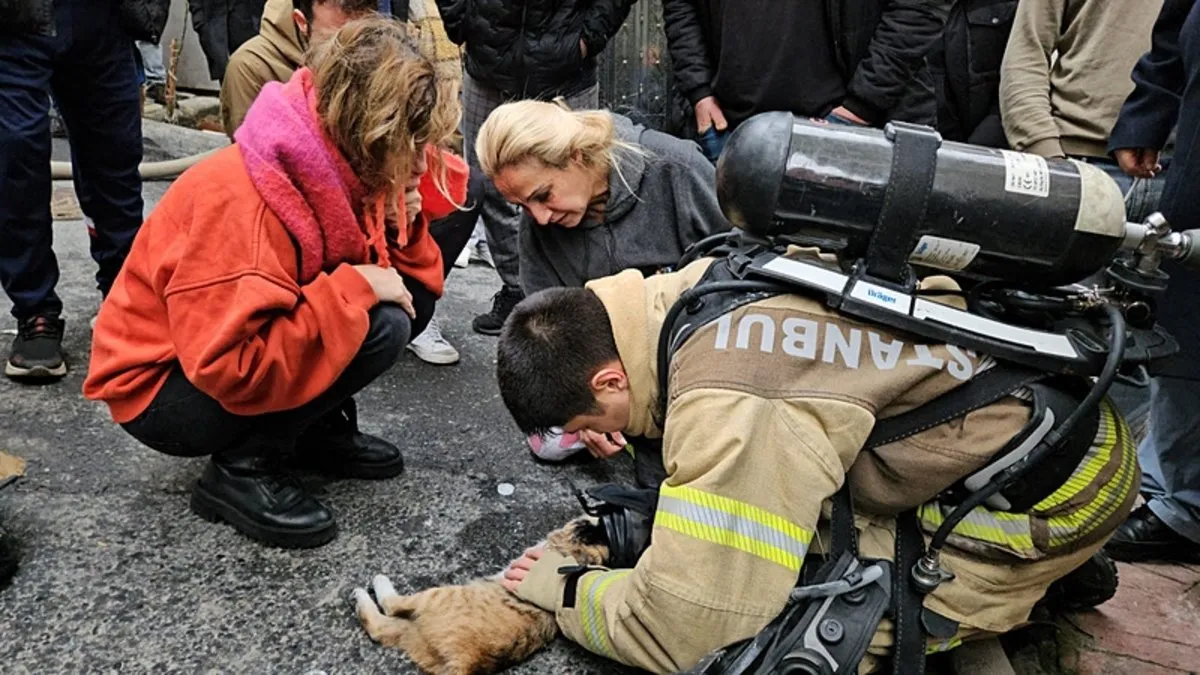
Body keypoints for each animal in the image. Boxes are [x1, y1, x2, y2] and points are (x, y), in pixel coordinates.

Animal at [350, 511, 609, 667]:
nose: (592, 515)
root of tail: (471, 659)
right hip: (412, 636)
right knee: (378, 627)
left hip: (436, 596)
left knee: (391, 605)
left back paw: (371, 585)